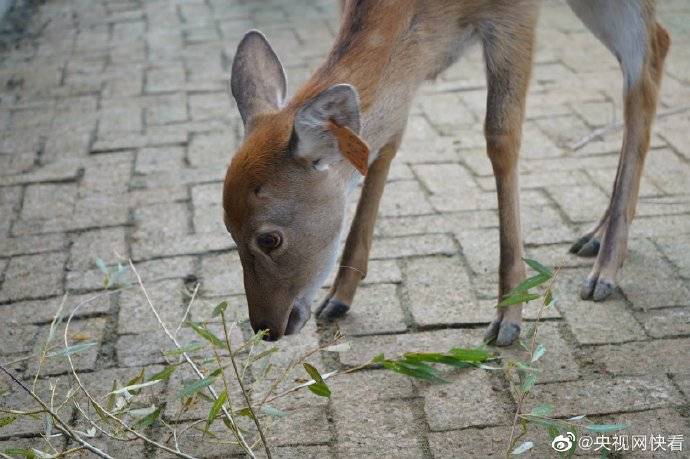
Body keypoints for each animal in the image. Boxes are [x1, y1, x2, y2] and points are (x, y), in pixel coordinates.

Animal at [223, 0, 668, 344]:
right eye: (227, 228)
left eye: (270, 238)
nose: (266, 327)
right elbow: (386, 142)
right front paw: (339, 296)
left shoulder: (516, 12)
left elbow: (501, 136)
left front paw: (508, 318)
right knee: (655, 45)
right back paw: (595, 237)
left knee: (648, 53)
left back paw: (604, 270)